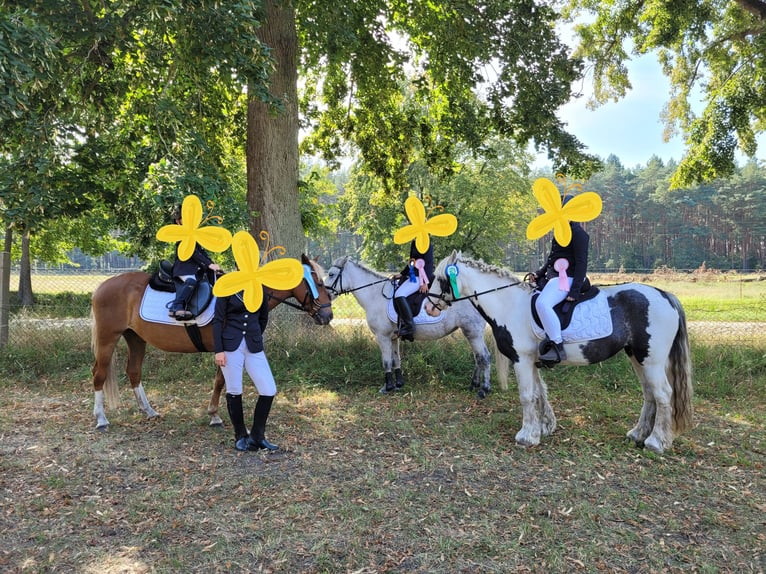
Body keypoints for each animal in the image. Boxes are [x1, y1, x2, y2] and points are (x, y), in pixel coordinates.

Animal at [91, 254, 332, 430]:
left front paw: (214, 414)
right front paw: (214, 415)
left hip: (136, 338)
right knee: (99, 374)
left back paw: (148, 411)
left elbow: (221, 381)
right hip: (108, 337)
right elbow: (221, 381)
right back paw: (101, 418)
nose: (327, 316)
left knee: (133, 371)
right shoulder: (226, 347)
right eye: (318, 283)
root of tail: (101, 287)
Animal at [426, 252, 696, 454]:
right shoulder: (531, 361)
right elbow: (539, 393)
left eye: (439, 278)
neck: (509, 304)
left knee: (663, 395)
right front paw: (543, 428)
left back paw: (656, 442)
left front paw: (526, 436)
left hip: (652, 361)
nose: (429, 307)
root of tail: (664, 295)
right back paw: (638, 434)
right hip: (638, 358)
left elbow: (526, 396)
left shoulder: (521, 360)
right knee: (649, 394)